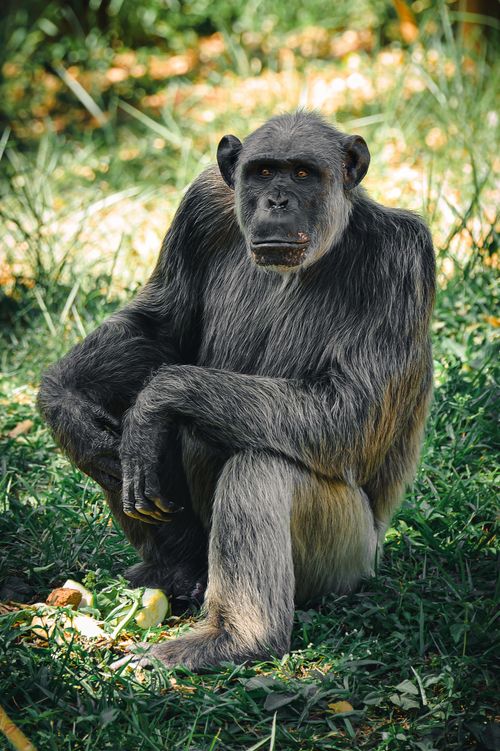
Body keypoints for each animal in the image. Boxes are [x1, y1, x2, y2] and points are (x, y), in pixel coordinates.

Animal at [38, 111, 435, 671]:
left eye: (304, 174)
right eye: (264, 171)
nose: (277, 201)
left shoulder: (400, 263)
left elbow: (350, 411)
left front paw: (157, 401)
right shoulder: (200, 208)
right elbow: (160, 325)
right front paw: (65, 406)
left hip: (347, 561)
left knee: (261, 467)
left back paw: (234, 637)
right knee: (122, 445)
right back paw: (176, 570)